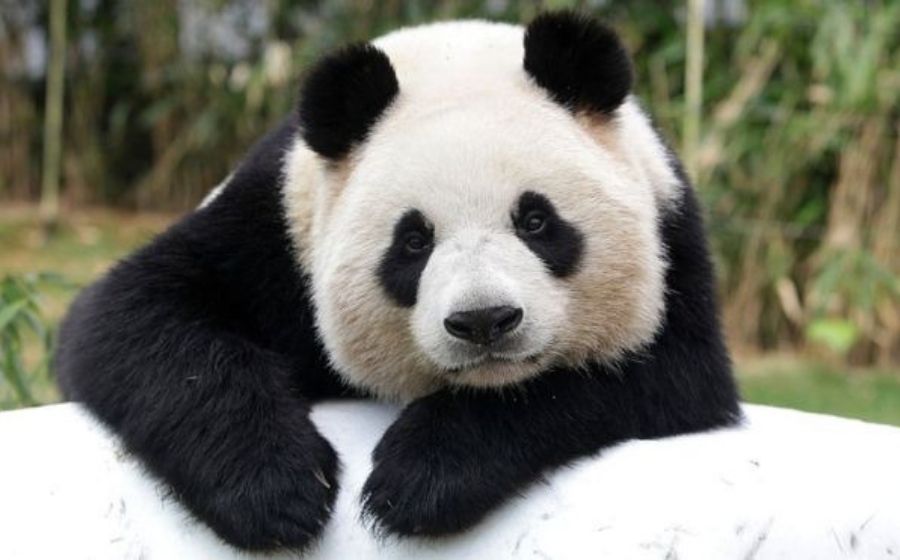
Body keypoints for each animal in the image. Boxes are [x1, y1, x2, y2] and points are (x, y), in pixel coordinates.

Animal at [55, 11, 741, 553]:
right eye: (413, 241)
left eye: (536, 221)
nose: (484, 322)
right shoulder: (272, 229)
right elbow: (134, 316)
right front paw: (277, 489)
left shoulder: (671, 238)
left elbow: (655, 376)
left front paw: (420, 478)